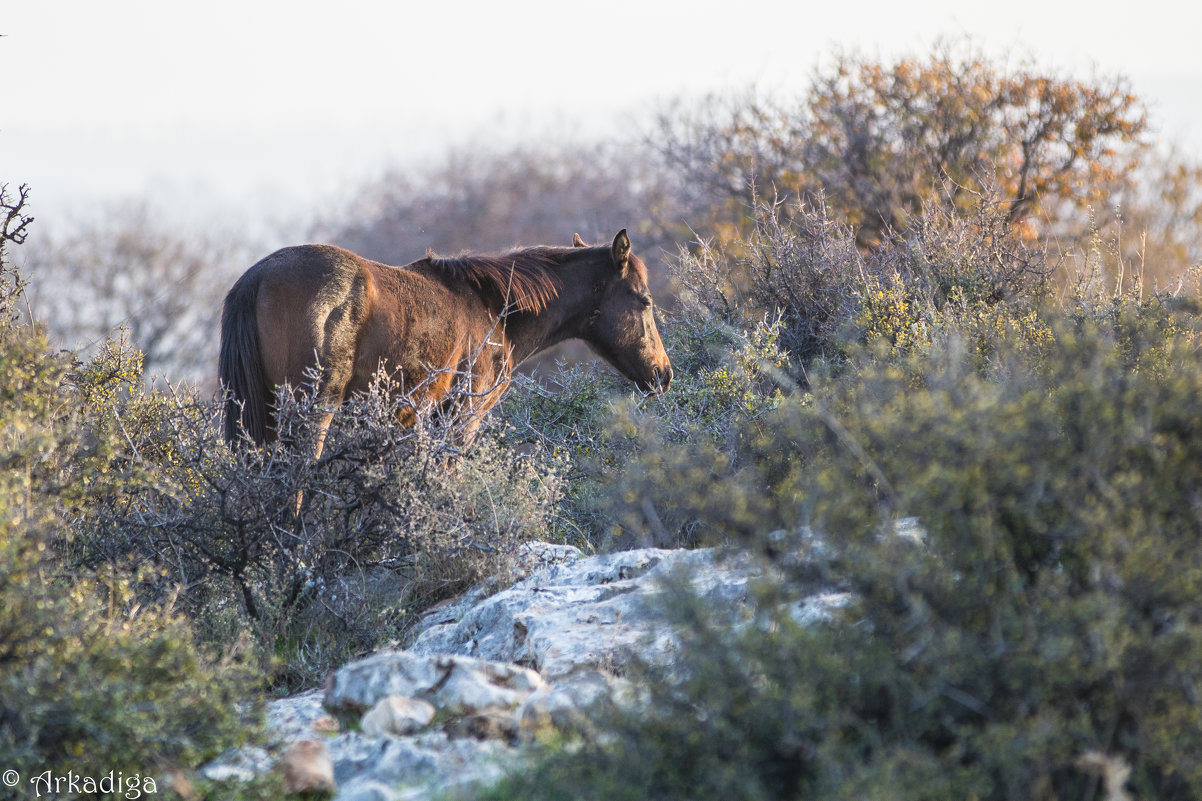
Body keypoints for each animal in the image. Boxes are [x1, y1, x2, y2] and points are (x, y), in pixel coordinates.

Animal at [219, 226, 673, 449]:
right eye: (645, 300)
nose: (664, 374)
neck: (495, 308)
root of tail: (257, 277)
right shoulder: (461, 419)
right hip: (314, 412)